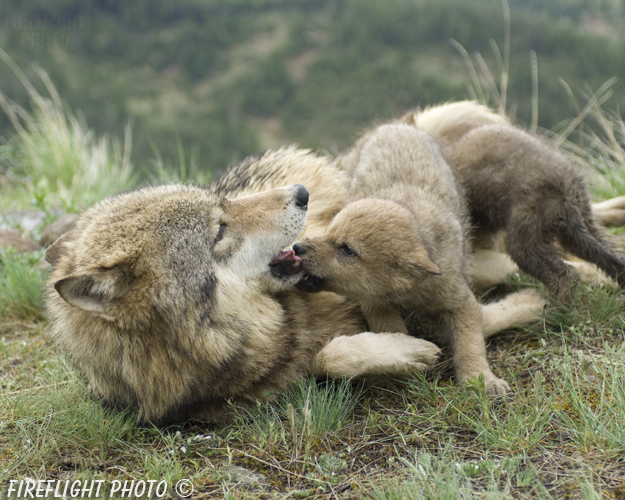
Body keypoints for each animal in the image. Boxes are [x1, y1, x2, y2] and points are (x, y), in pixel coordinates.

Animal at [44, 146, 544, 424]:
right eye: (219, 230)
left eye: (223, 202)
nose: (301, 193)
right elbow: (330, 358)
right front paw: (407, 350)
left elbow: (464, 313)